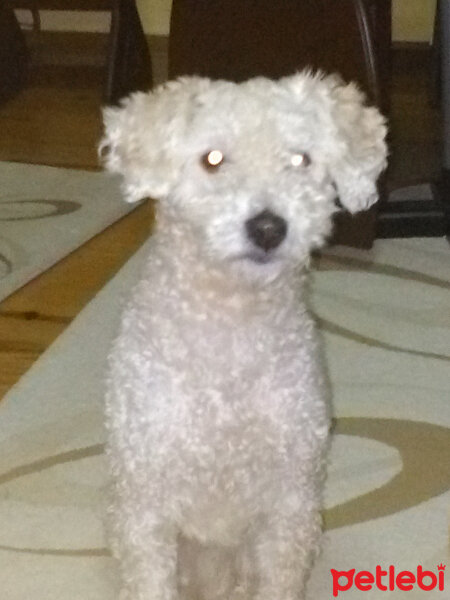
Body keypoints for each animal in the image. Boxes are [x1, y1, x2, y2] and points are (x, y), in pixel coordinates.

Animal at [101, 74, 386, 600]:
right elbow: (150, 579)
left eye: (300, 159)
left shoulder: (289, 502)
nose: (269, 228)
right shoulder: (146, 503)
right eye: (212, 159)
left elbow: (279, 580)